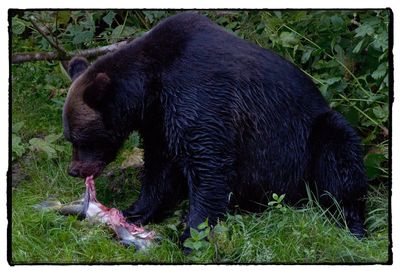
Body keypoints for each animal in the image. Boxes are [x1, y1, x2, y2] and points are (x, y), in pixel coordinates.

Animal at [64, 12, 368, 242]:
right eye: (69, 136)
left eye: (80, 137)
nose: (74, 170)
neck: (150, 87)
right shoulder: (159, 120)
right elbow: (159, 168)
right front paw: (134, 211)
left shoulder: (200, 98)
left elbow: (208, 165)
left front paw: (192, 237)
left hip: (312, 135)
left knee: (339, 160)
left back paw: (350, 225)